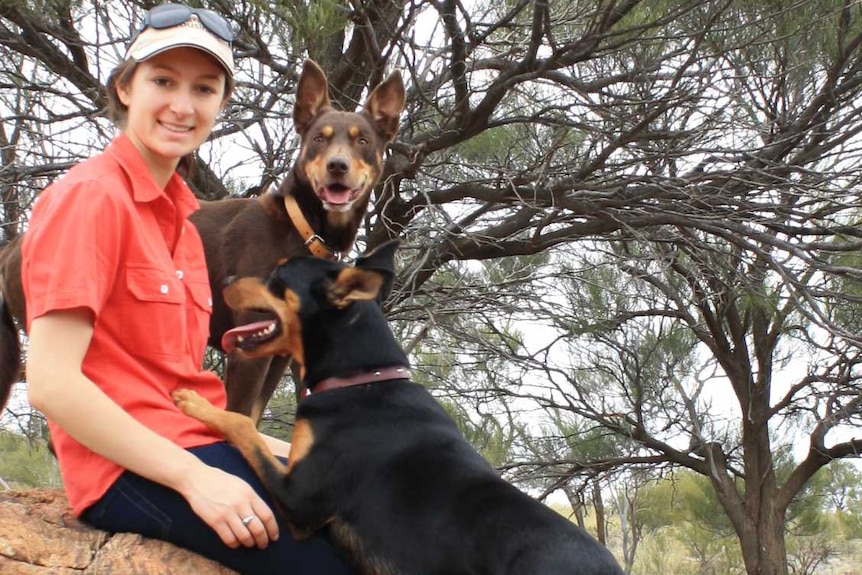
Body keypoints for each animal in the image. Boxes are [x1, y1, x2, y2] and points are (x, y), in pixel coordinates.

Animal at [170, 243, 628, 575]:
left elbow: (242, 425)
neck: (362, 379)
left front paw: (194, 401)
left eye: (279, 276)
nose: (226, 278)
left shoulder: (300, 500)